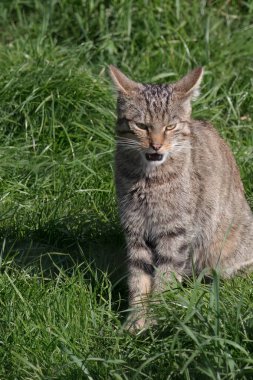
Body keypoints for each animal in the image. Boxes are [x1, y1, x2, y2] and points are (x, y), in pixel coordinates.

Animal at [108, 63, 253, 332]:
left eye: (170, 126)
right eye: (142, 126)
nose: (156, 145)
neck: (149, 179)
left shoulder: (176, 233)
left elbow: (165, 277)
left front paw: (155, 318)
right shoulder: (135, 228)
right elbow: (139, 278)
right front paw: (135, 320)